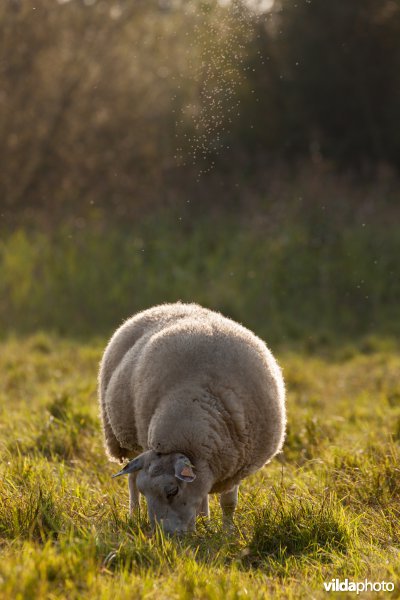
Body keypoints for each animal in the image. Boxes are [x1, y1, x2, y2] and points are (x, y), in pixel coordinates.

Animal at [98, 304, 286, 536]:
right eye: (146, 492)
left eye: (172, 491)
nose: (164, 536)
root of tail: (171, 305)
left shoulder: (236, 462)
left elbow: (228, 502)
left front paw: (227, 532)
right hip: (125, 438)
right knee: (132, 479)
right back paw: (134, 514)